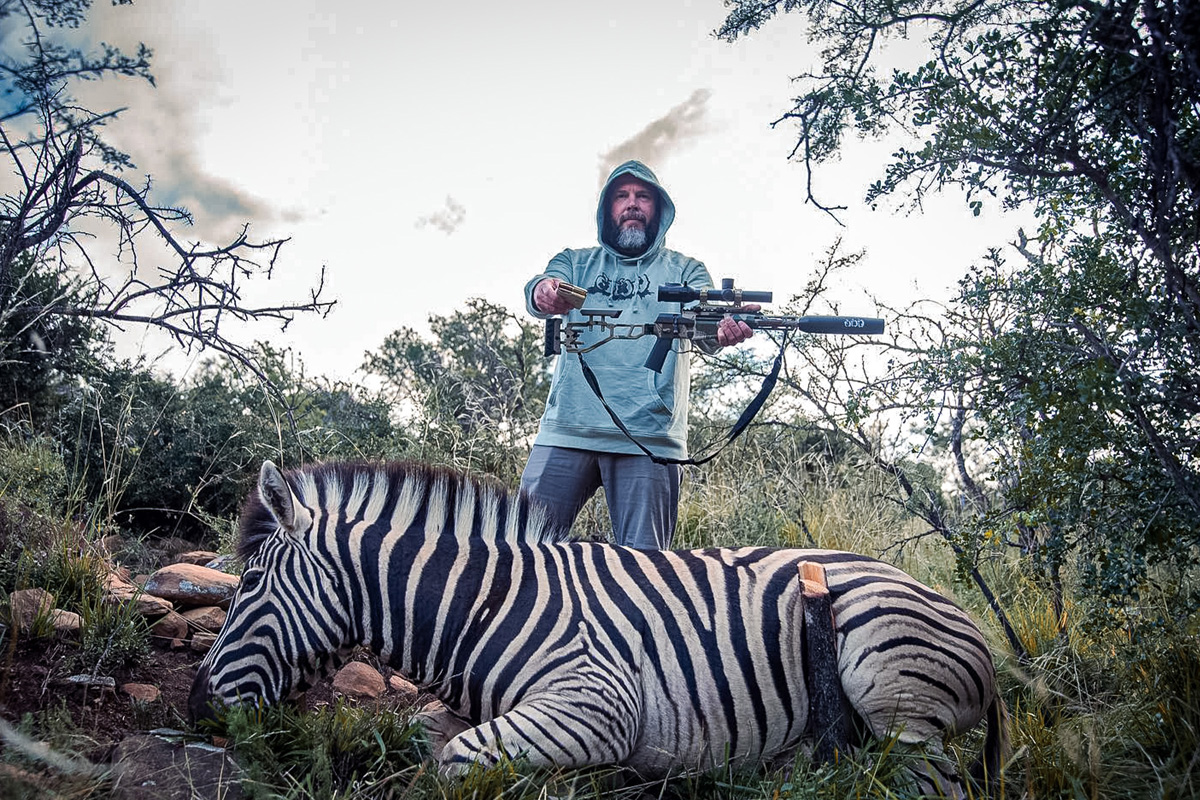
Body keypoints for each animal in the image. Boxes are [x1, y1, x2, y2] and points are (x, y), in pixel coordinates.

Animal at [189, 460, 1012, 791]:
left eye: (251, 583)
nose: (198, 707)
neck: (483, 606)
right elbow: (431, 742)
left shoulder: (596, 702)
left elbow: (454, 763)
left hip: (889, 688)